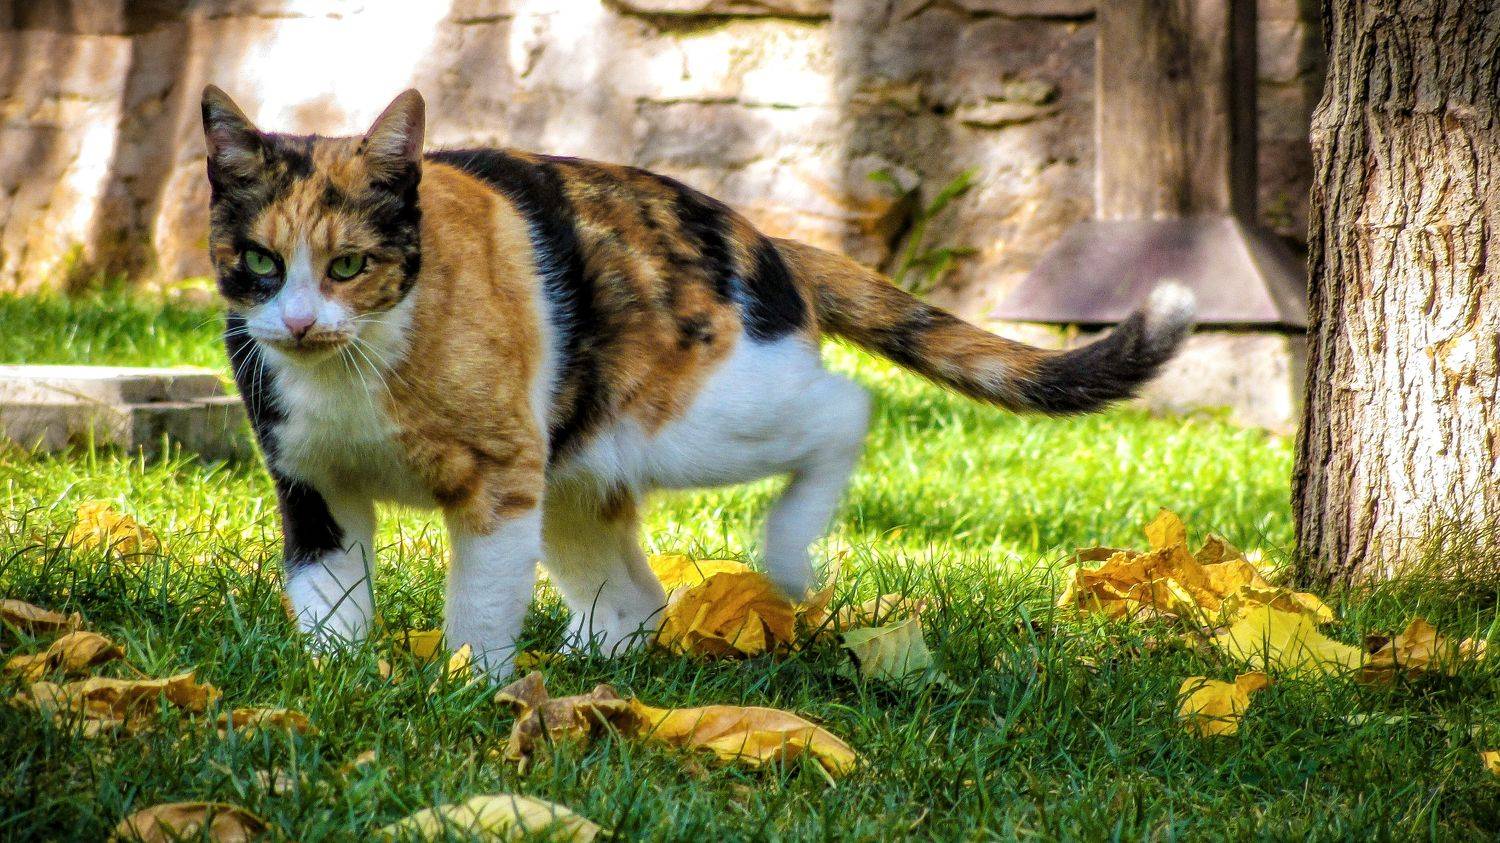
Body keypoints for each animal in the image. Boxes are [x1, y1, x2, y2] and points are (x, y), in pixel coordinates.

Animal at [202, 86, 1195, 675]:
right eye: (258, 260)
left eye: (350, 264)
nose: (296, 323)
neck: (354, 364)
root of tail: (767, 238)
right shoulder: (312, 485)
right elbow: (327, 599)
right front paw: (336, 686)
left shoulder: (498, 477)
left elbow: (479, 604)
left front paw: (472, 693)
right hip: (577, 468)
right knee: (638, 598)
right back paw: (596, 669)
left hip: (695, 420)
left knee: (846, 407)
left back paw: (786, 555)